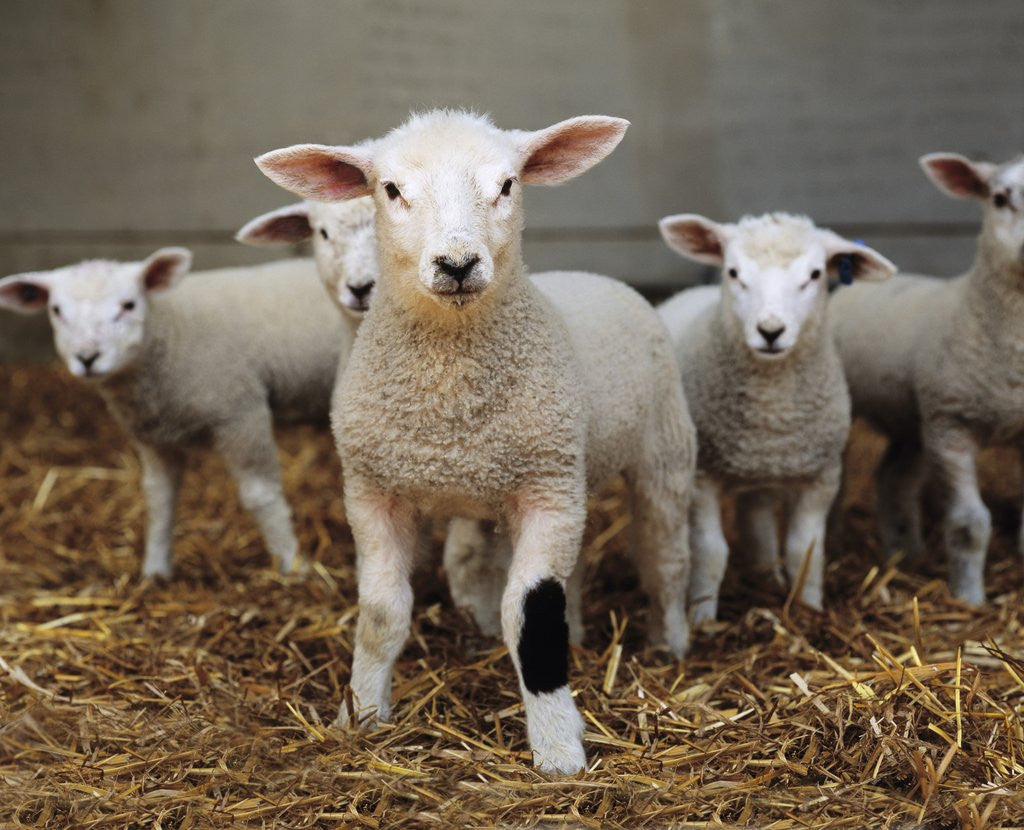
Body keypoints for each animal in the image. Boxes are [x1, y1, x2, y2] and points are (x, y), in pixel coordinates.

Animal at [0, 252, 347, 578]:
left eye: (129, 304)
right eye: (57, 311)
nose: (87, 357)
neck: (172, 326)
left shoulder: (240, 411)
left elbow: (258, 495)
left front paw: (293, 564)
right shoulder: (153, 434)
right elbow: (159, 500)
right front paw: (155, 572)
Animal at [255, 110, 696, 774]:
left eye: (508, 184)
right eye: (390, 189)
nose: (458, 263)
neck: (451, 405)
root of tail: (592, 274)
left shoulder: (545, 493)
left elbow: (532, 616)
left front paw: (558, 748)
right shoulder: (372, 492)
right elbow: (382, 612)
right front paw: (360, 716)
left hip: (660, 451)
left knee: (665, 557)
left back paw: (670, 644)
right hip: (567, 478)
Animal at [658, 212, 896, 623]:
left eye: (815, 274)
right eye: (733, 272)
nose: (771, 331)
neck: (773, 411)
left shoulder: (822, 477)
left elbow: (805, 549)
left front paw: (809, 609)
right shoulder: (702, 477)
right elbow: (711, 552)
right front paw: (703, 620)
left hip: (764, 474)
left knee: (759, 520)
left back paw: (768, 577)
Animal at [829, 152, 1024, 606]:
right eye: (999, 198)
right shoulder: (950, 427)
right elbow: (969, 525)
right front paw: (969, 598)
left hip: (910, 418)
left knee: (892, 479)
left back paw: (905, 554)